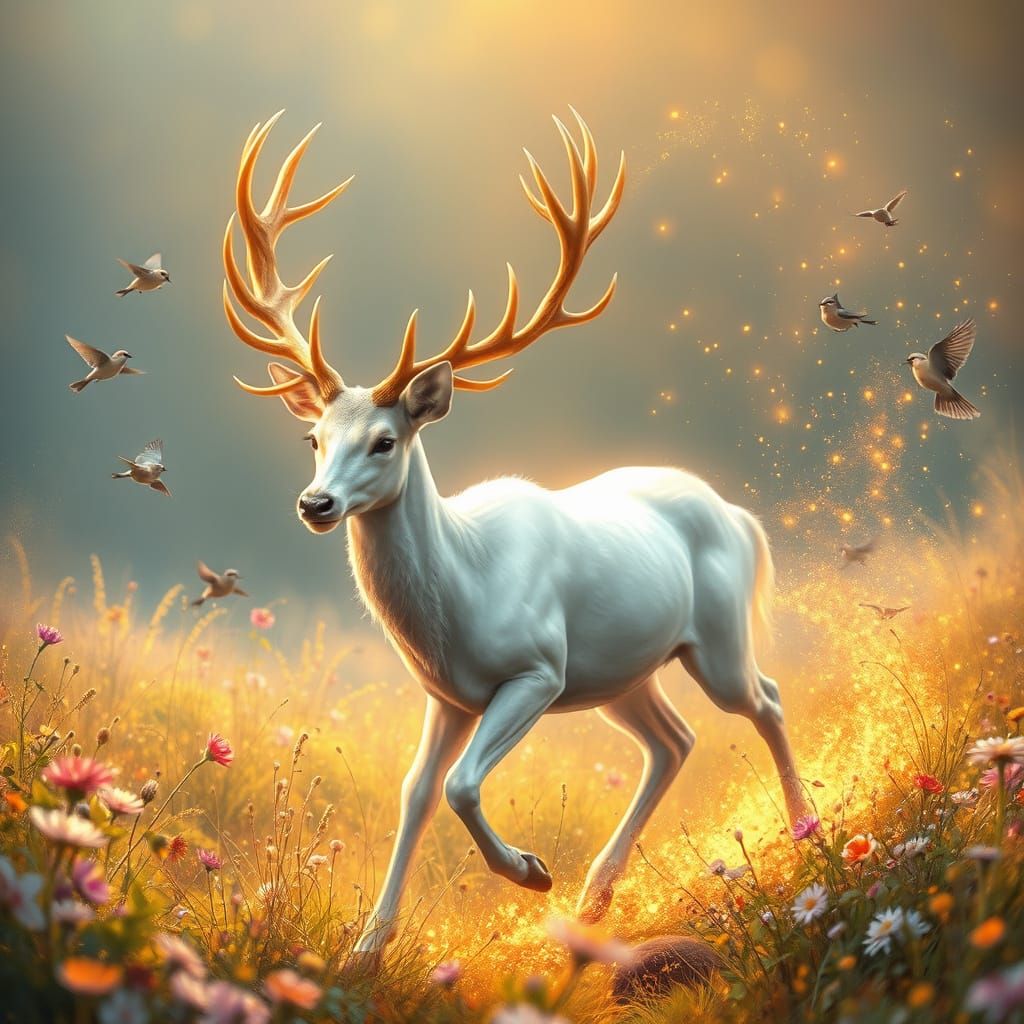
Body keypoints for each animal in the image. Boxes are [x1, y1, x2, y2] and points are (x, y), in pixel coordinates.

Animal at [221, 110, 809, 959]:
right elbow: (416, 792)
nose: (316, 503)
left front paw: (530, 872)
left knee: (764, 699)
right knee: (673, 740)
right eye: (313, 437)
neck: (460, 601)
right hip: (620, 674)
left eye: (385, 441)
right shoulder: (447, 694)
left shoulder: (536, 668)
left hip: (715, 638)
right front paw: (368, 948)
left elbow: (462, 783)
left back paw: (804, 828)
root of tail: (736, 513)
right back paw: (598, 894)